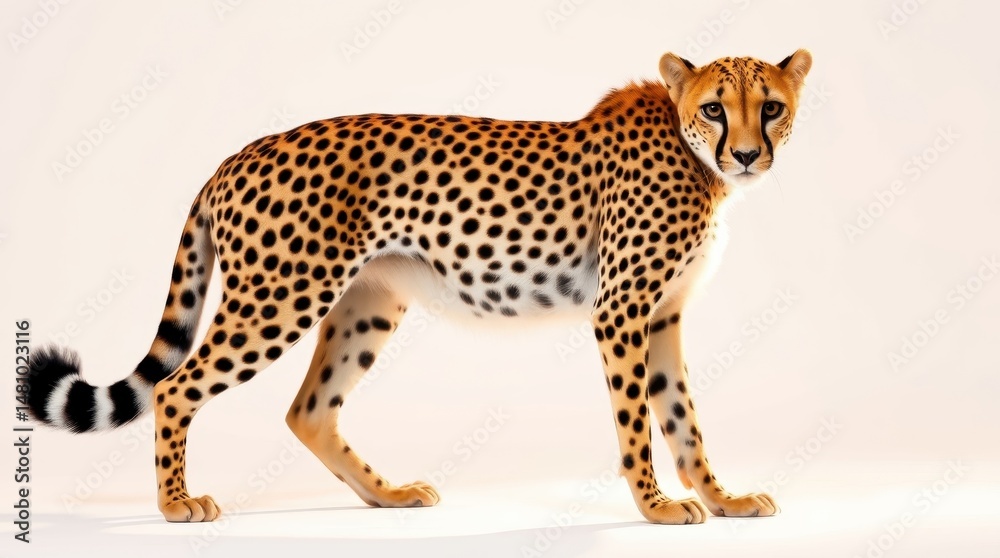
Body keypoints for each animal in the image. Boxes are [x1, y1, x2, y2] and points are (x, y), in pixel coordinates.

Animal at [27, 49, 812, 524]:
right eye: (715, 107)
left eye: (771, 106)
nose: (748, 154)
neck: (698, 160)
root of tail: (239, 152)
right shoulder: (622, 311)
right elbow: (637, 424)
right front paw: (655, 507)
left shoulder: (663, 317)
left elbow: (684, 420)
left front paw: (723, 498)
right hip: (280, 298)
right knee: (174, 387)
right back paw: (175, 504)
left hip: (368, 302)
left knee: (308, 411)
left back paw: (387, 494)